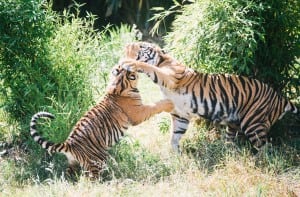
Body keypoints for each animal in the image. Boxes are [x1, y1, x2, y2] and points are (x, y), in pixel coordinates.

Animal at [29, 62, 175, 180]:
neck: (119, 84)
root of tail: (69, 143)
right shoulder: (138, 113)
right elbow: (154, 106)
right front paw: (169, 103)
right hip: (97, 161)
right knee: (90, 180)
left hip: (73, 163)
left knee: (70, 175)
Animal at [120, 41, 298, 152]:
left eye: (142, 45)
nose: (129, 45)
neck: (163, 60)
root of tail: (279, 97)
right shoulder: (180, 114)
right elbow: (175, 136)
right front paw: (176, 155)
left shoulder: (170, 77)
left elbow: (149, 67)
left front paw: (129, 62)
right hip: (234, 124)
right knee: (233, 142)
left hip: (254, 123)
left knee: (266, 148)